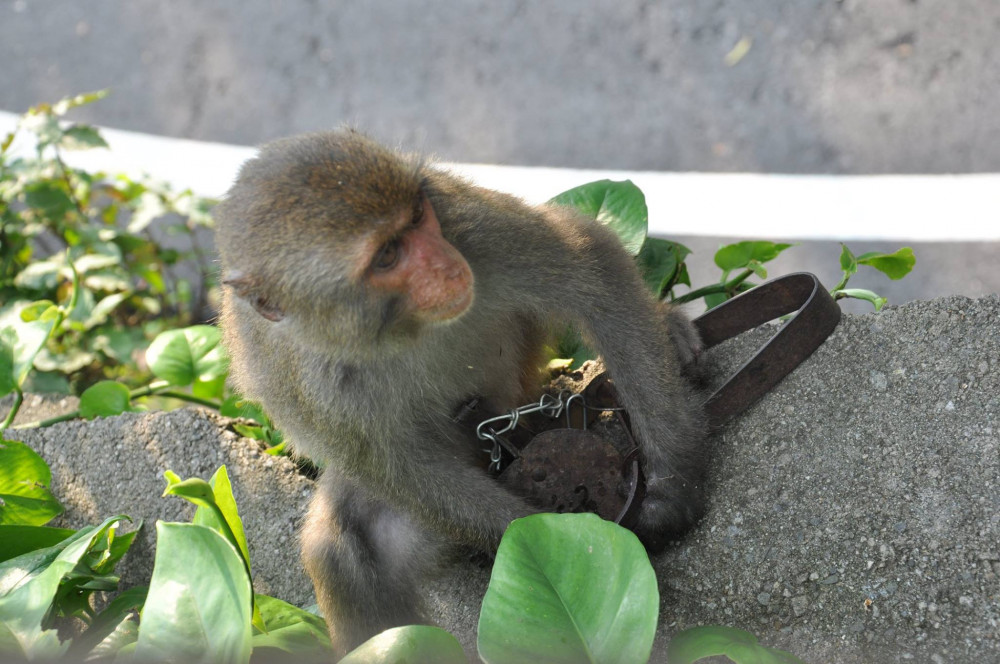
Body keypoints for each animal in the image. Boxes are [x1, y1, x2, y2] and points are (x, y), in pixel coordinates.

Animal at [215, 128, 708, 652]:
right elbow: (403, 472)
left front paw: (673, 482)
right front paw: (547, 536)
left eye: (417, 218)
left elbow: (588, 265)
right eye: (387, 254)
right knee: (339, 548)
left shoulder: (463, 223)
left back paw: (671, 331)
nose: (446, 264)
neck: (397, 325)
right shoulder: (316, 391)